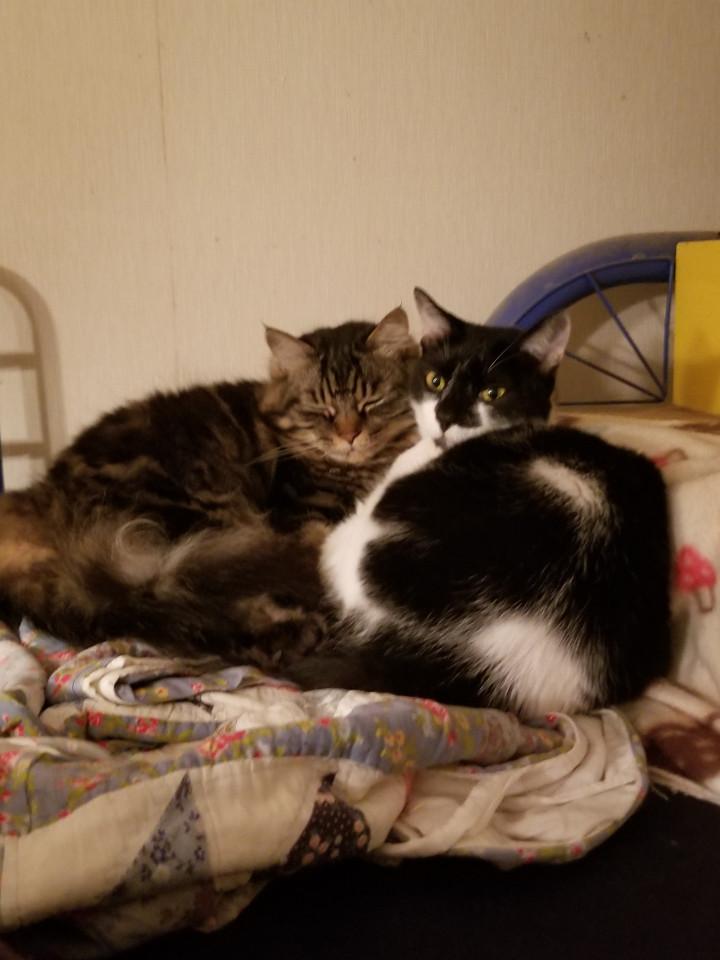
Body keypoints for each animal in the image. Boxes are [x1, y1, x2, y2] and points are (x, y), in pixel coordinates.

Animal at [0, 307, 419, 665]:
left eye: (371, 402)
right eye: (322, 410)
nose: (350, 436)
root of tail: (40, 499)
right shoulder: (305, 518)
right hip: (199, 516)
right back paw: (289, 634)